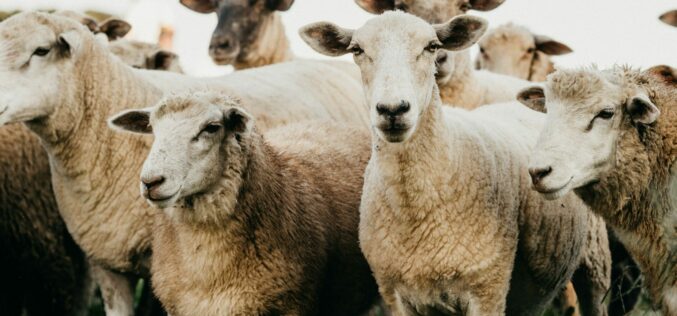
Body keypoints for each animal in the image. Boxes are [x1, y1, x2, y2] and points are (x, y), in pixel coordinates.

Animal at [302, 11, 608, 314]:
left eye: (432, 47)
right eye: (357, 50)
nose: (392, 109)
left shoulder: (487, 288)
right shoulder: (394, 293)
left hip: (595, 262)